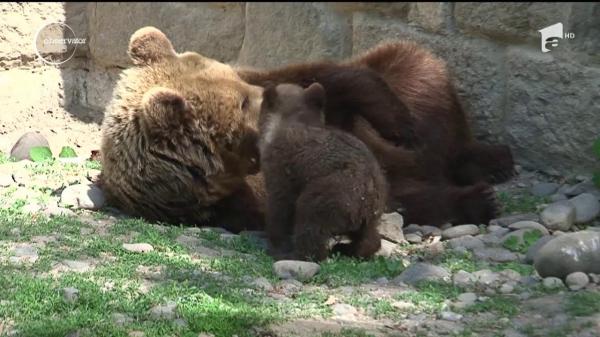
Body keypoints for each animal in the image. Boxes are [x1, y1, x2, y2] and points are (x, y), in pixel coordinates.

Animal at [239, 42, 516, 226]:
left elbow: (336, 79)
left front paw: (403, 128)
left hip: (412, 87)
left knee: (417, 68)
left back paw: (491, 162)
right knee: (420, 196)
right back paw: (480, 198)